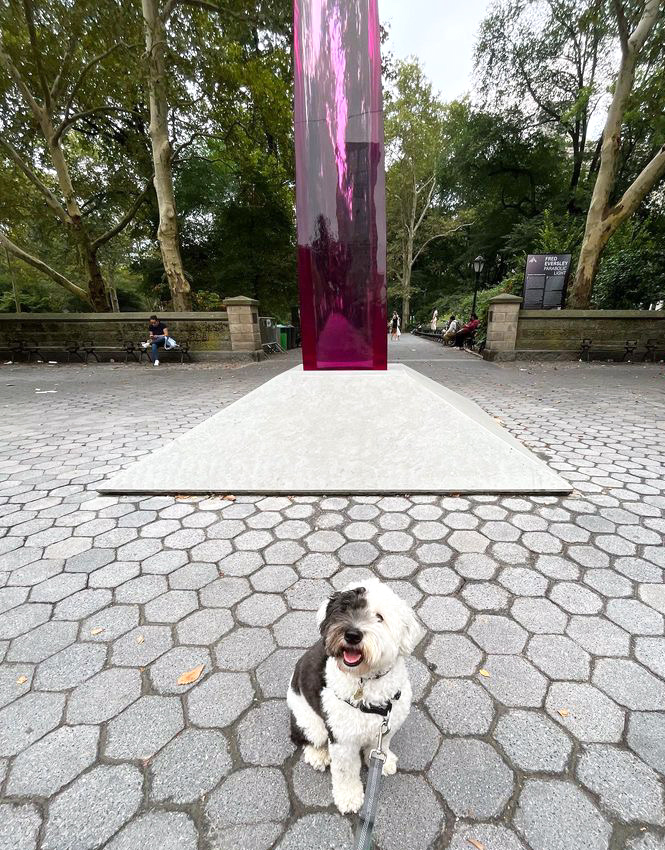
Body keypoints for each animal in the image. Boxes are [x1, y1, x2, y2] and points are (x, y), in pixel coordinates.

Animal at [284, 580, 420, 812]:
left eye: (379, 617)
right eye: (343, 609)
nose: (352, 634)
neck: (366, 682)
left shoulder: (387, 725)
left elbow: (381, 746)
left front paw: (384, 761)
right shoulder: (343, 739)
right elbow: (345, 771)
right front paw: (349, 797)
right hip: (311, 722)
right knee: (304, 737)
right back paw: (318, 755)